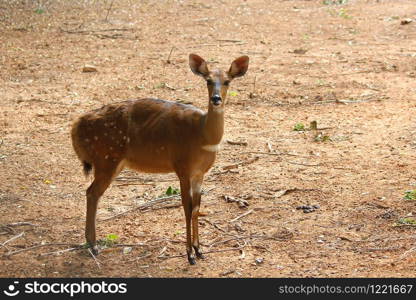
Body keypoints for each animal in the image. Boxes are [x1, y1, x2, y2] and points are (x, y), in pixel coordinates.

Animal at [70, 54, 249, 264]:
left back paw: (91, 243)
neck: (203, 136)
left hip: (113, 162)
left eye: (228, 81)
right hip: (106, 159)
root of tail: (76, 126)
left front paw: (199, 250)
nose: (216, 98)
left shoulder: (200, 173)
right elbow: (186, 207)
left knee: (92, 192)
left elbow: (196, 207)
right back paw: (94, 245)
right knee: (92, 192)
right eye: (208, 80)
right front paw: (189, 255)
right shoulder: (182, 167)